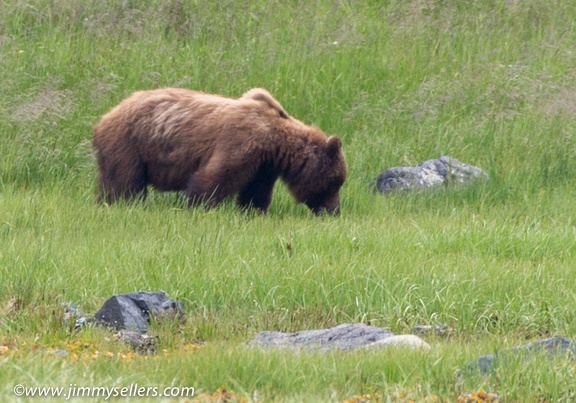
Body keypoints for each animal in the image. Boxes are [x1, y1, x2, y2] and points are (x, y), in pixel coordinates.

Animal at [93, 87, 346, 216]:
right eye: (334, 182)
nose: (334, 210)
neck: (276, 144)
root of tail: (104, 118)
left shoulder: (264, 165)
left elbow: (256, 190)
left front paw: (253, 211)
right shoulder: (242, 142)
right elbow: (216, 176)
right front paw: (199, 206)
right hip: (130, 145)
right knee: (126, 183)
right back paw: (123, 204)